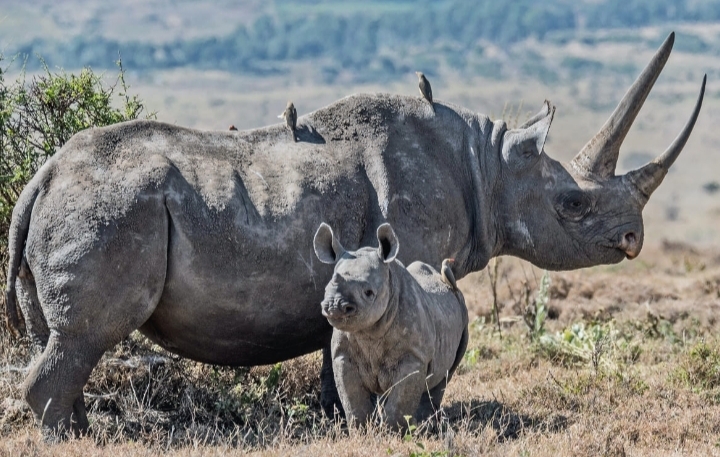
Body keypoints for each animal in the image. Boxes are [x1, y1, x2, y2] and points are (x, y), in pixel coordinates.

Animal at [314, 222, 468, 430]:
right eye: (325, 289)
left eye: (368, 292)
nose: (334, 306)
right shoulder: (343, 355)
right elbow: (352, 399)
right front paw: (362, 430)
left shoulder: (414, 356)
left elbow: (400, 402)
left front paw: (392, 432)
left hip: (462, 314)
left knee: (444, 377)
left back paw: (424, 424)